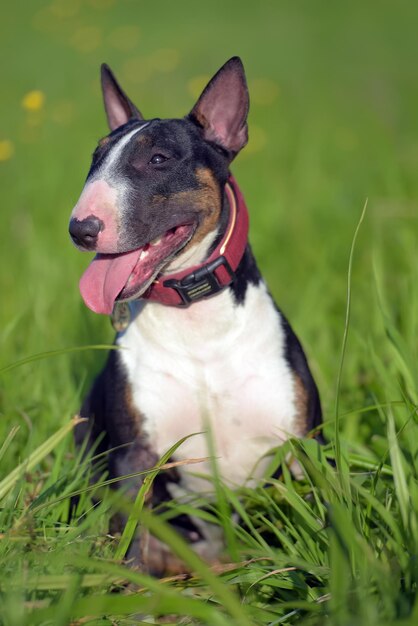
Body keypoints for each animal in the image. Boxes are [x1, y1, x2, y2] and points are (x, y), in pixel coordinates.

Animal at [70, 56, 322, 572]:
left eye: (159, 159)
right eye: (95, 158)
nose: (80, 228)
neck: (199, 328)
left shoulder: (300, 446)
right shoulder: (133, 457)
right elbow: (132, 544)